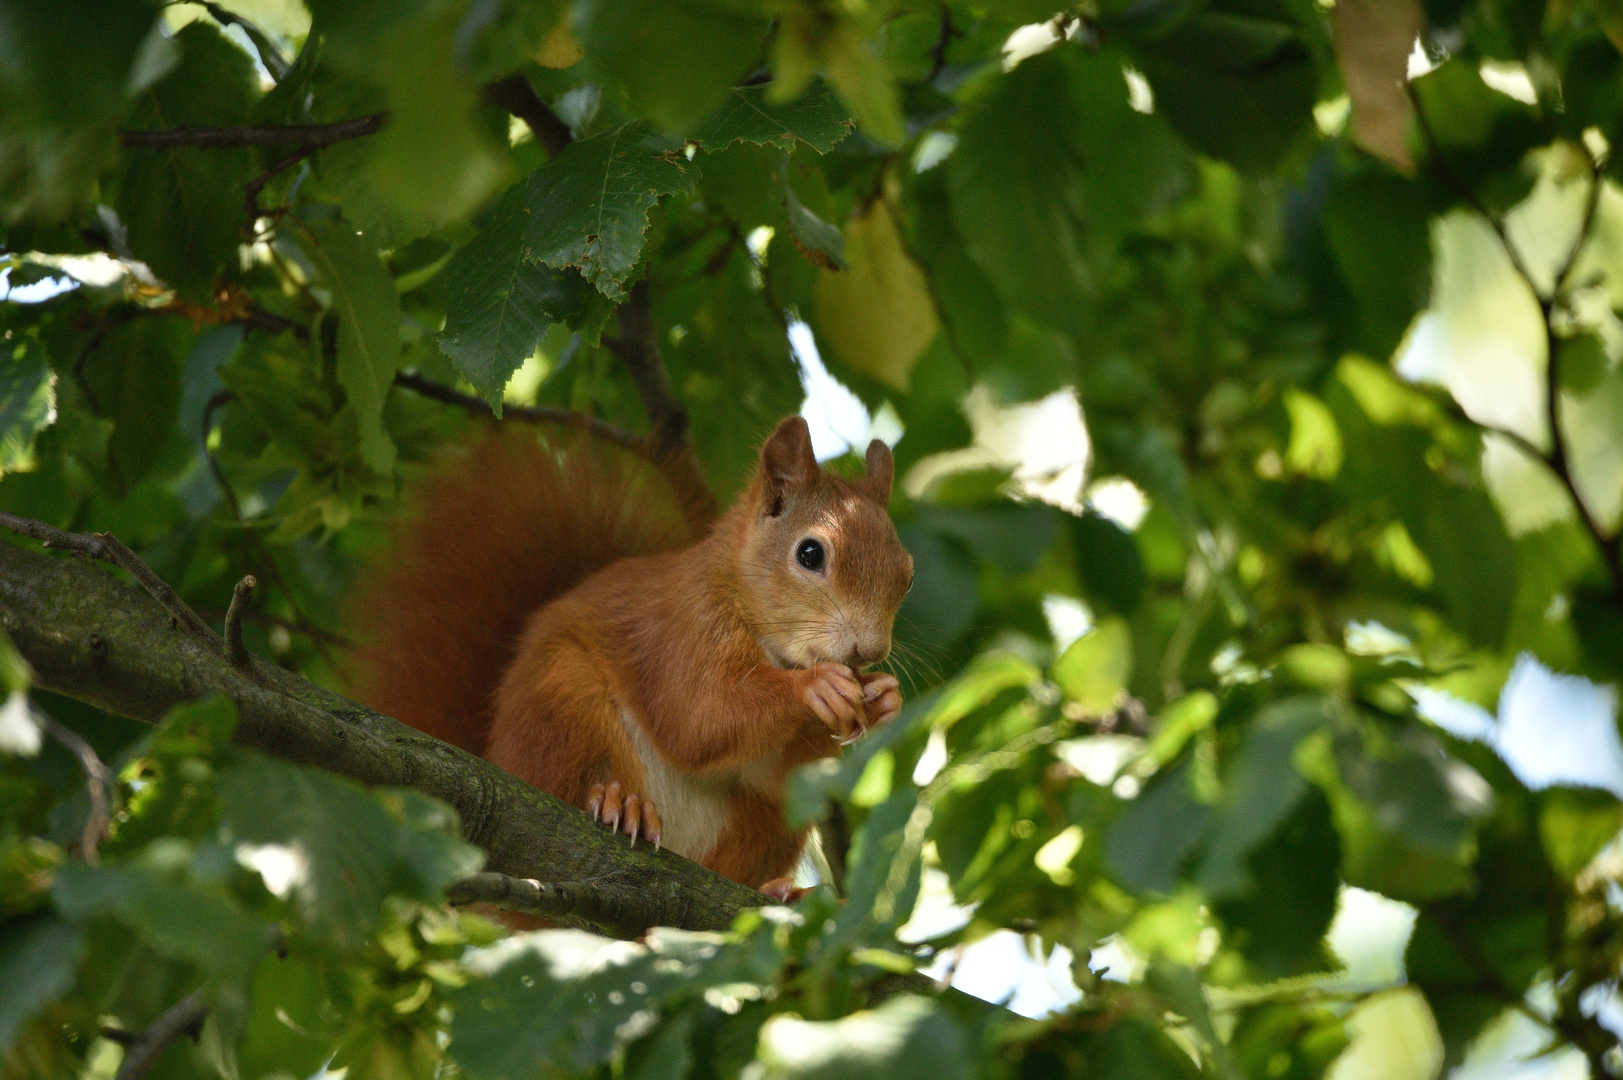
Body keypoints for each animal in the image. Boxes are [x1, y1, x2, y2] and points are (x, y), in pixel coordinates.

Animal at [345, 412, 915, 889]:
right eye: (810, 553)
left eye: (907, 575)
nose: (869, 648)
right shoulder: (683, 633)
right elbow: (700, 717)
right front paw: (815, 687)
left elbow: (774, 767)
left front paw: (886, 701)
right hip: (562, 702)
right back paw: (621, 802)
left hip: (766, 823)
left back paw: (774, 892)